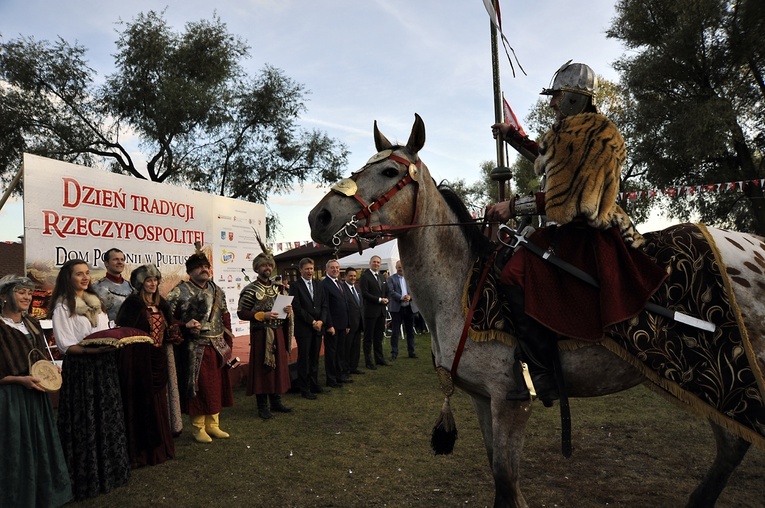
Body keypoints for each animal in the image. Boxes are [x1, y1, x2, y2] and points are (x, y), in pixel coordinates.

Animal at [306, 115, 764, 508]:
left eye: (389, 173)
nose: (319, 217)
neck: (459, 290)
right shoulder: (481, 399)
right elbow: (499, 480)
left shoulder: (510, 401)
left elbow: (506, 480)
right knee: (731, 445)